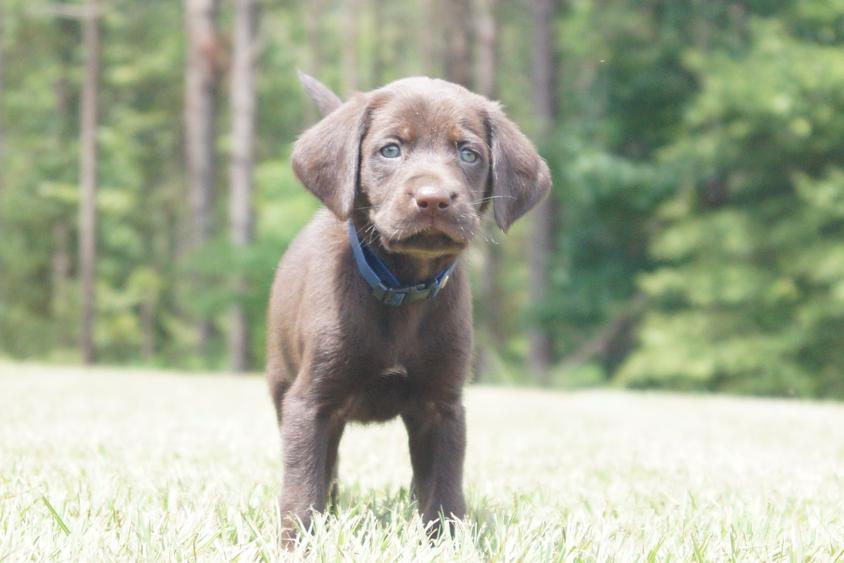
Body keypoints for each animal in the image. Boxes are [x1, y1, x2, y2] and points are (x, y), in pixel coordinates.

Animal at [268, 72, 552, 540]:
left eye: (469, 153)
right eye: (390, 150)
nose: (433, 198)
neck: (402, 288)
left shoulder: (443, 406)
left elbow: (444, 489)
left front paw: (448, 543)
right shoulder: (309, 402)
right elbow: (303, 485)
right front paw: (299, 543)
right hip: (282, 378)